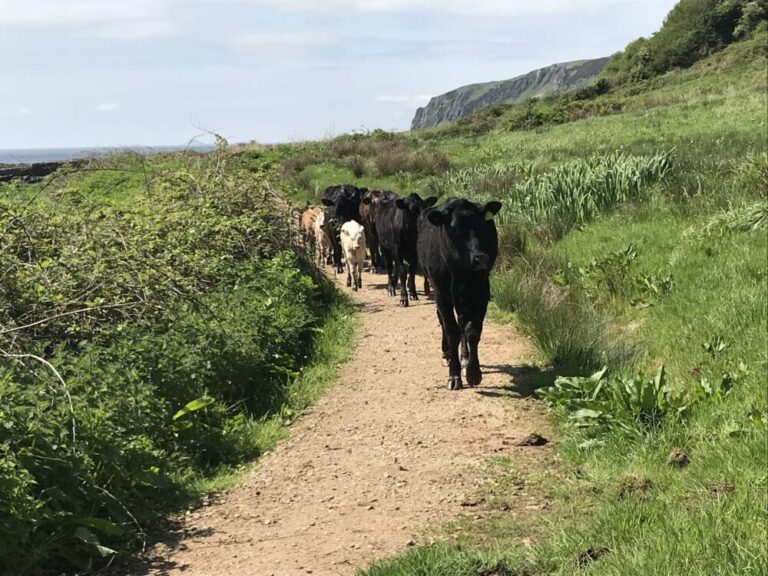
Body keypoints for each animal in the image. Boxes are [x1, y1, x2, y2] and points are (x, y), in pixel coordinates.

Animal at [417, 198, 502, 390]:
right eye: (454, 228)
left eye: (482, 225)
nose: (481, 258)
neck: (460, 272)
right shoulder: (441, 293)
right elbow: (451, 331)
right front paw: (454, 375)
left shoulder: (482, 291)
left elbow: (472, 330)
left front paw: (473, 372)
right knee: (444, 321)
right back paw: (447, 354)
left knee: (463, 323)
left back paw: (464, 358)